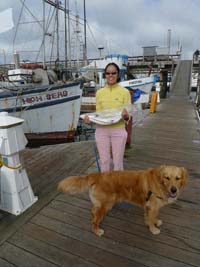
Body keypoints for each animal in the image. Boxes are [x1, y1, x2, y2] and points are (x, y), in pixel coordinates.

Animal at [57, 166, 188, 238]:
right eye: (167, 177)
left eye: (178, 178)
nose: (174, 190)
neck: (159, 183)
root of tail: (96, 175)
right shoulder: (151, 206)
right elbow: (150, 219)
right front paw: (153, 229)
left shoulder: (153, 207)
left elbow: (153, 216)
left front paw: (156, 222)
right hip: (106, 204)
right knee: (94, 218)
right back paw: (97, 230)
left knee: (93, 210)